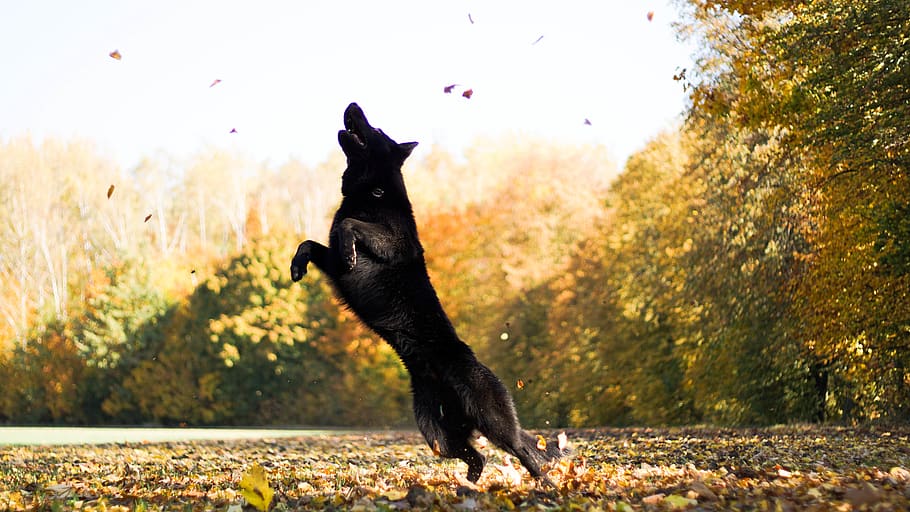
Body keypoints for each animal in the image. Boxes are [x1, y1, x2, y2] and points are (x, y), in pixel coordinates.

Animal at [290, 103, 563, 482]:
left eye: (376, 127)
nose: (352, 105)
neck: (373, 193)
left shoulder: (391, 243)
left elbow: (349, 225)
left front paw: (346, 245)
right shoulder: (332, 262)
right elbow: (310, 243)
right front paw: (296, 266)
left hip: (491, 420)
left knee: (523, 451)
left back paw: (544, 484)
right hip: (435, 431)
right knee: (478, 457)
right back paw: (469, 486)